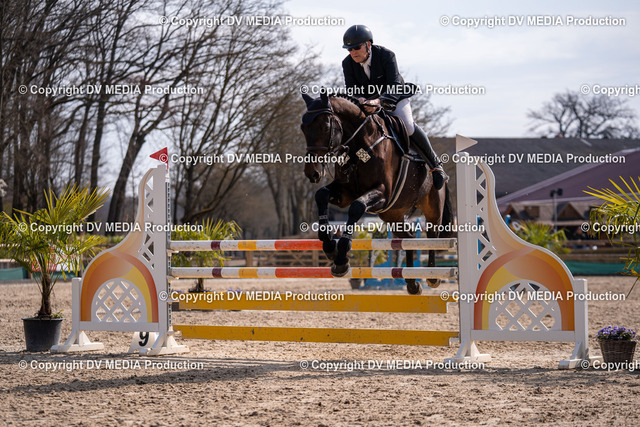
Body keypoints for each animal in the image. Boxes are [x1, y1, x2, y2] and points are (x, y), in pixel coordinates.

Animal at [300, 92, 453, 294]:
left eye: (325, 127)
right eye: (303, 128)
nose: (312, 172)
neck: (359, 145)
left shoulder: (381, 193)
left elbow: (356, 207)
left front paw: (341, 260)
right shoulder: (345, 193)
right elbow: (321, 195)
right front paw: (330, 247)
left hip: (432, 208)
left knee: (432, 236)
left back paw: (433, 276)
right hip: (392, 214)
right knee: (409, 238)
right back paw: (412, 283)